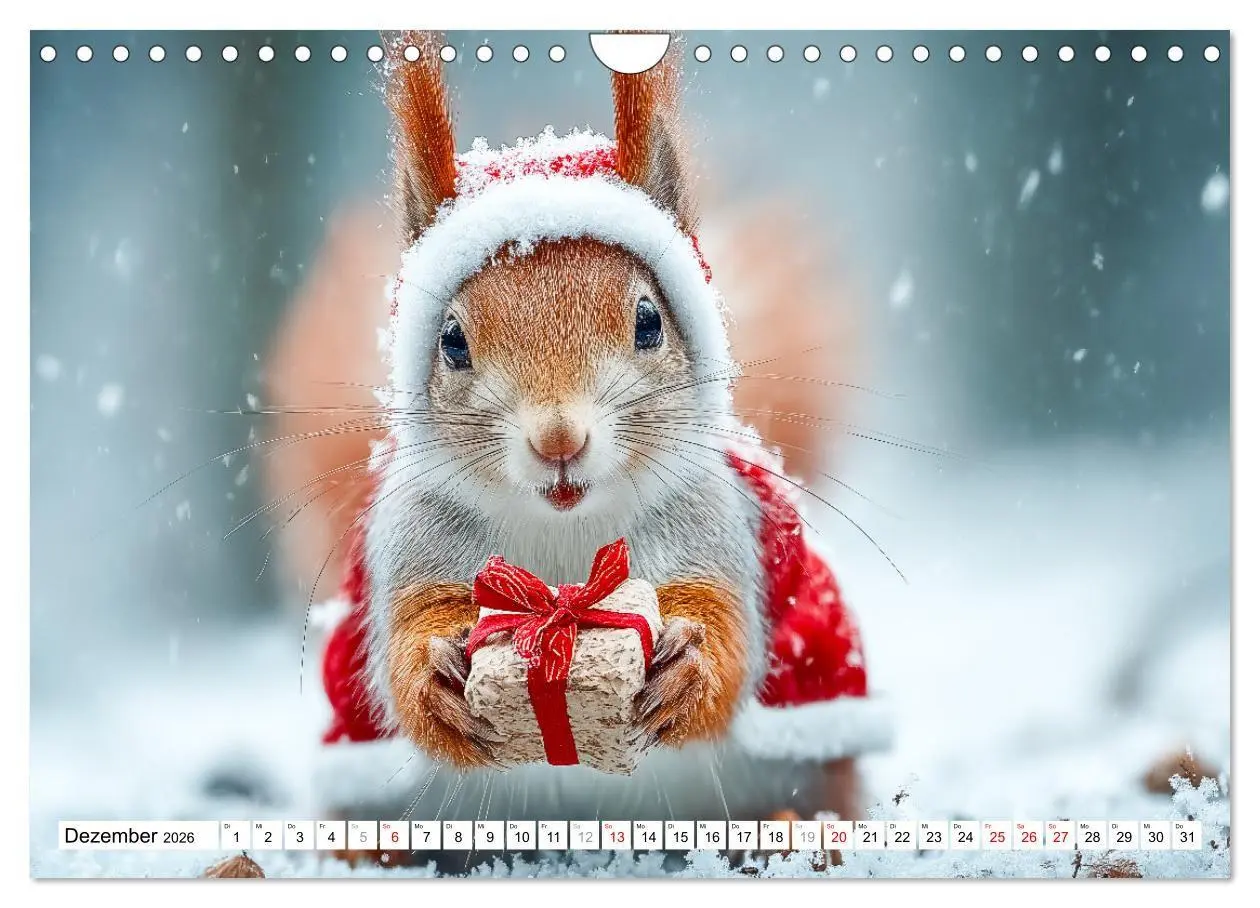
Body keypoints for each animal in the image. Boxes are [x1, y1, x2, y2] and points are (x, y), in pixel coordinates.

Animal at [262, 33, 888, 829]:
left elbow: (728, 634)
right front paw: (435, 677)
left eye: (649, 321)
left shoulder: (718, 533)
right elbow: (403, 645)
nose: (558, 441)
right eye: (453, 342)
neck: (565, 540)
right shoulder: (408, 547)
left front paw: (687, 665)